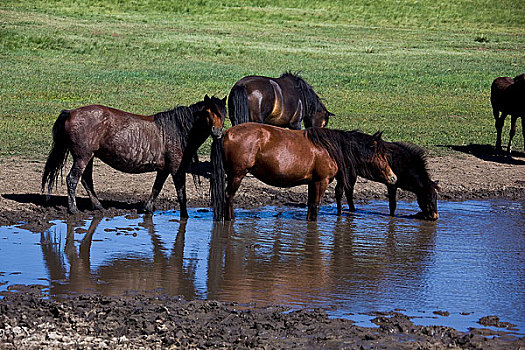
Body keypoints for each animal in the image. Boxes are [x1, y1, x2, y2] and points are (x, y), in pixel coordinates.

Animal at [42, 94, 226, 217]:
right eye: (208, 112)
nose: (217, 132)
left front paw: (147, 209)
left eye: (223, 114)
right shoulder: (176, 169)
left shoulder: (164, 169)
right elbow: (181, 193)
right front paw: (185, 216)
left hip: (90, 156)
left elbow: (156, 188)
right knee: (72, 179)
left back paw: (98, 206)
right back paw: (73, 209)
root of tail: (70, 112)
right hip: (82, 156)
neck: (177, 130)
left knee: (86, 180)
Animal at [211, 123, 396, 221]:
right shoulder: (321, 181)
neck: (330, 148)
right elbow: (315, 206)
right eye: (380, 155)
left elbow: (310, 206)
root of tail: (226, 133)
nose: (393, 177)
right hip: (237, 175)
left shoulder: (312, 183)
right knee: (228, 197)